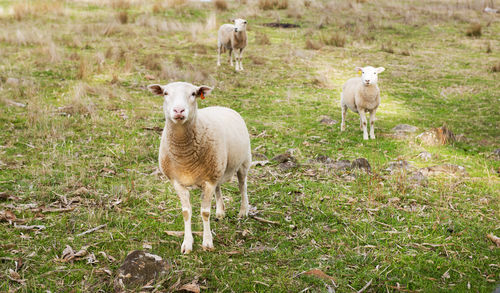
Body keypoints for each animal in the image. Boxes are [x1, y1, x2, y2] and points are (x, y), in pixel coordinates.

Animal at [146, 81, 252, 252]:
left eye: (193, 94)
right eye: (165, 93)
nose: (179, 110)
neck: (184, 155)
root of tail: (222, 107)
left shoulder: (208, 181)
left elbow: (205, 213)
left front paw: (207, 242)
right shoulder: (178, 182)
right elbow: (186, 212)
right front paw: (187, 244)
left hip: (243, 161)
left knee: (243, 186)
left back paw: (243, 211)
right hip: (217, 167)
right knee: (219, 187)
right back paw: (220, 212)